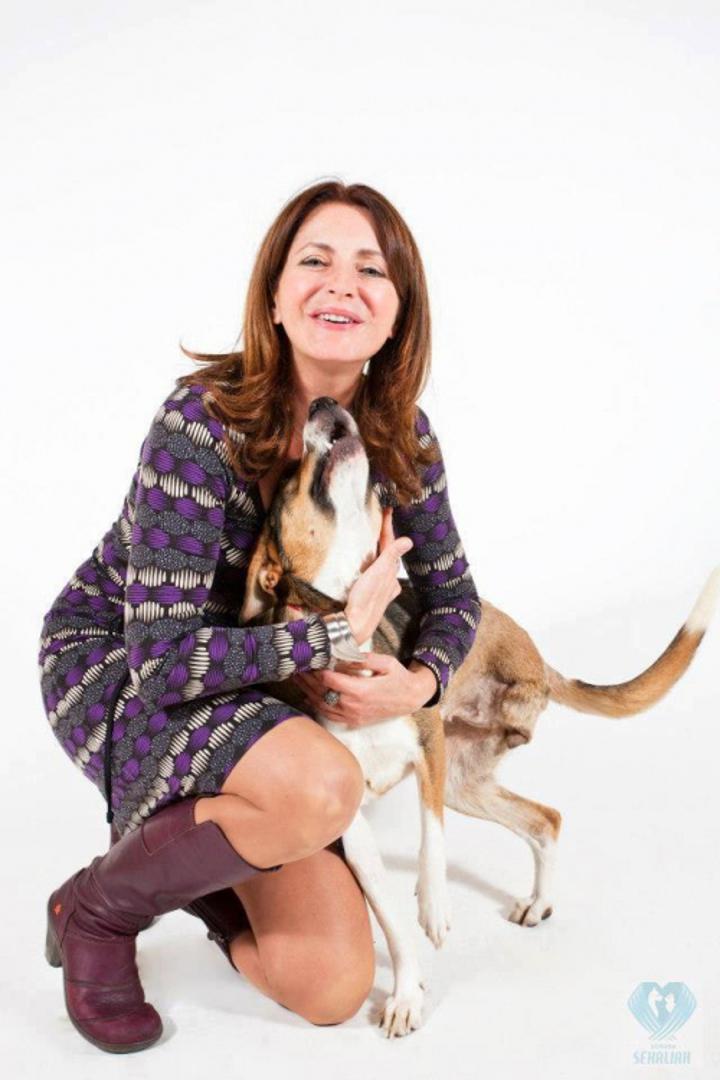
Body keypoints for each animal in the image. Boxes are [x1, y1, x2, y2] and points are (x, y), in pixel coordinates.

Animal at [239, 397, 718, 1038]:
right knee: (545, 820)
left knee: (538, 818)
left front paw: (435, 906)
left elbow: (431, 842)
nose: (324, 402)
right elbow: (389, 918)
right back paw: (537, 903)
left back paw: (532, 901)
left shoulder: (429, 748)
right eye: (293, 479)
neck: (352, 645)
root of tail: (535, 655)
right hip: (467, 782)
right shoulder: (353, 820)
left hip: (456, 773)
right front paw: (407, 994)